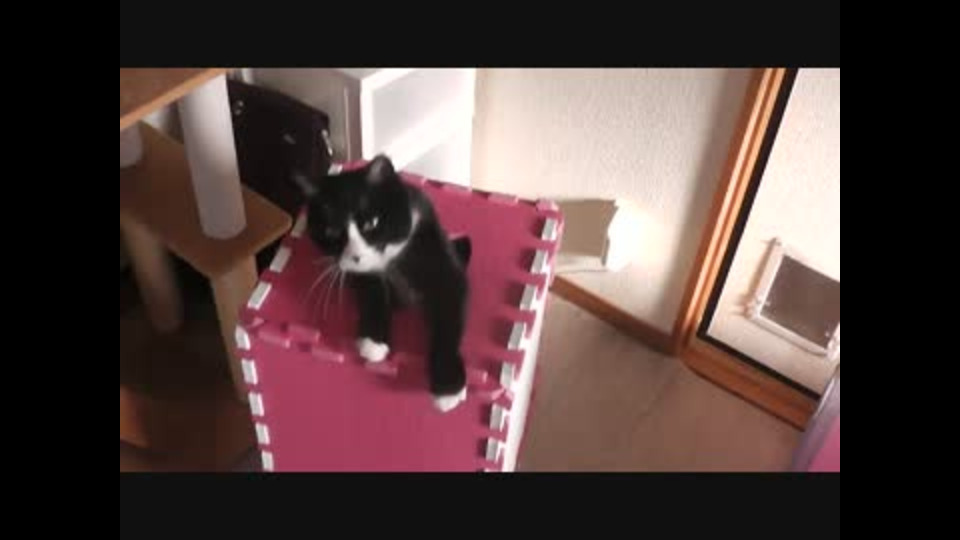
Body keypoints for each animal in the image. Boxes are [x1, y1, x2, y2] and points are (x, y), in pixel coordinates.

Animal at [293, 155, 472, 413]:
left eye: (371, 224)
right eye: (332, 231)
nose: (356, 256)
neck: (389, 262)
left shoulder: (441, 263)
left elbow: (448, 319)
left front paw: (448, 388)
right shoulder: (361, 274)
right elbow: (372, 293)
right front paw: (373, 341)